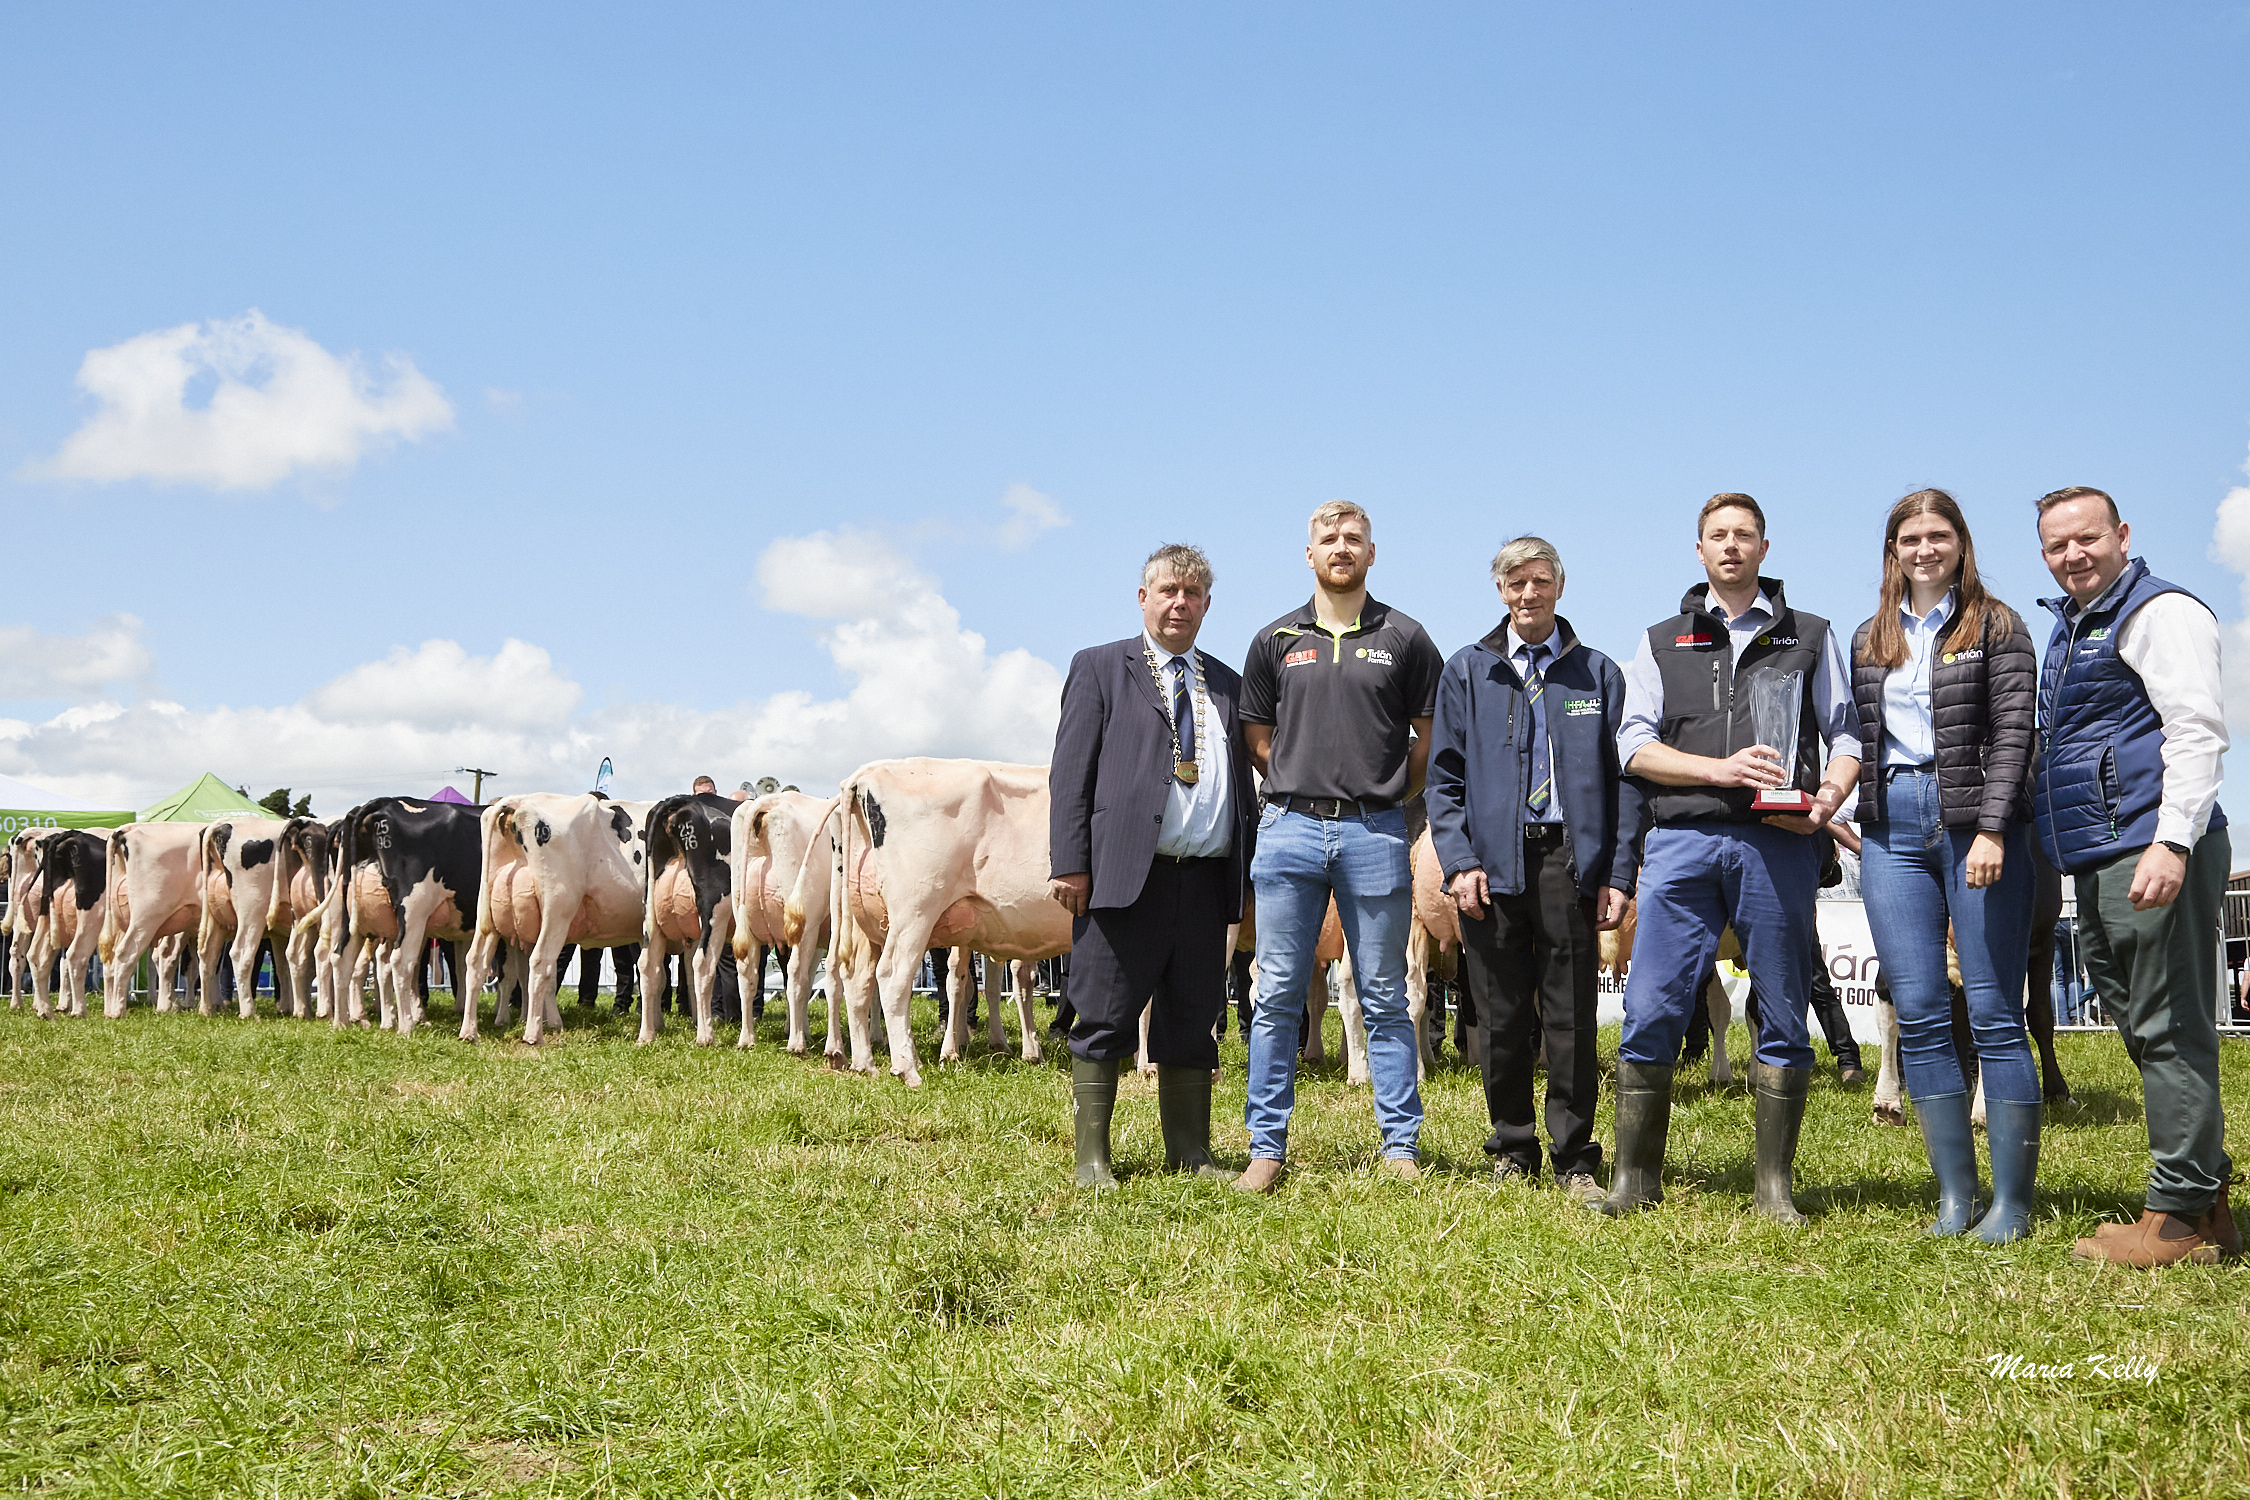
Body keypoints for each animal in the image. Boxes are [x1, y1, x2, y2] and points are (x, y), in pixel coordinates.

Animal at [98, 823, 207, 1019]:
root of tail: (126, 830)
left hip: (123, 920)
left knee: (112, 959)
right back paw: (120, 1011)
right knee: (128, 954)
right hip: (147, 916)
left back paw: (111, 1009)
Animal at [468, 794, 652, 1044]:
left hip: (488, 917)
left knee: (477, 961)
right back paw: (533, 1034)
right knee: (540, 962)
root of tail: (517, 801)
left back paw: (469, 1032)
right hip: (558, 907)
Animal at [640, 792, 737, 1047]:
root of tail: (682, 800)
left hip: (653, 916)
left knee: (649, 966)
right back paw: (706, 1036)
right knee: (703, 964)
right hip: (715, 911)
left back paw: (647, 1035)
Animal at [736, 791, 841, 1055]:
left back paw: (747, 1038)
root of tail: (768, 801)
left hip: (748, 921)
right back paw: (797, 1044)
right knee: (795, 973)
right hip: (804, 924)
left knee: (747, 974)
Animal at [789, 760, 1065, 1085]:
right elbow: (968, 980)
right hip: (915, 911)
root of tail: (865, 774)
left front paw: (1027, 1051)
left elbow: (1012, 980)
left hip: (863, 920)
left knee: (851, 977)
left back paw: (859, 1062)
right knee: (891, 976)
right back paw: (906, 1067)